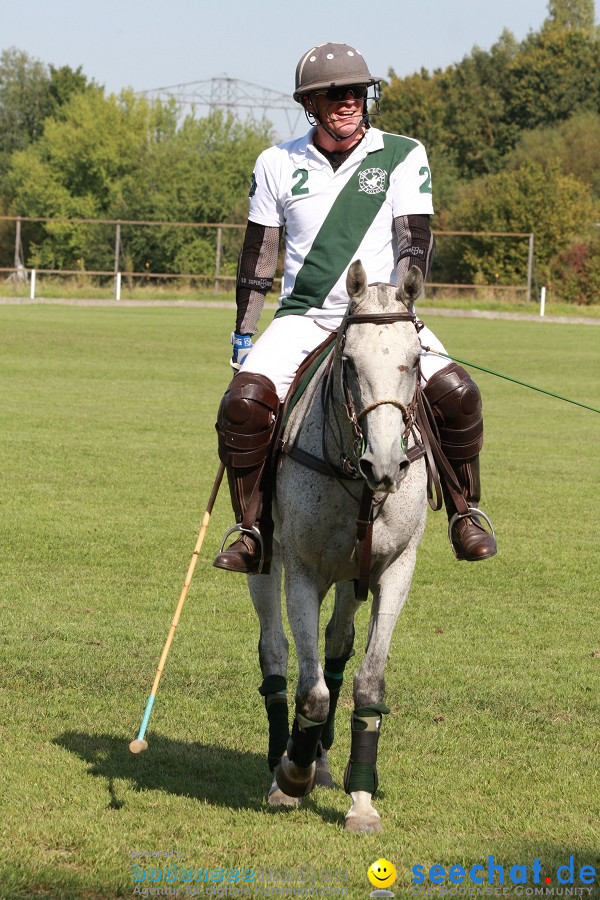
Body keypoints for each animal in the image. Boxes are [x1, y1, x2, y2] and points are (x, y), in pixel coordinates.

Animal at [247, 264, 426, 832]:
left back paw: (323, 760)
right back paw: (282, 759)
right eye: (348, 362)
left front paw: (361, 798)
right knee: (275, 649)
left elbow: (367, 683)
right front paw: (292, 776)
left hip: (351, 575)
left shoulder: (396, 568)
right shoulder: (302, 570)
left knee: (337, 643)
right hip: (266, 558)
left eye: (416, 361)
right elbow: (313, 693)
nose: (385, 465)